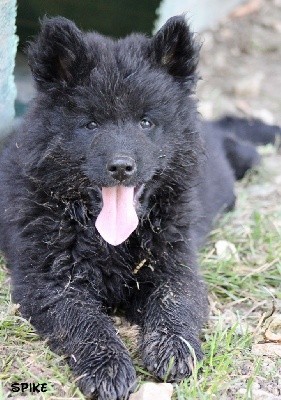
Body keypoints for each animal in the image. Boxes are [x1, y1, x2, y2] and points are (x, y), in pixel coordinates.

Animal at [0, 15, 278, 400]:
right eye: (91, 124)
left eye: (146, 122)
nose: (121, 167)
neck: (111, 241)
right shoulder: (49, 281)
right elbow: (83, 321)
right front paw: (108, 367)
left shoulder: (177, 265)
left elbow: (174, 302)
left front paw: (174, 349)